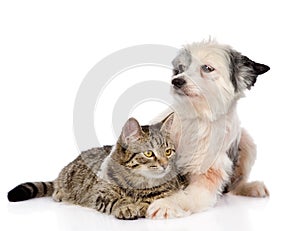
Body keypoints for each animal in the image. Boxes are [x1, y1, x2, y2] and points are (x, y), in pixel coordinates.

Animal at [7, 114, 188, 219]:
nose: (165, 165)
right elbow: (117, 199)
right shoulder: (100, 194)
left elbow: (153, 200)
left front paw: (141, 205)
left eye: (168, 152)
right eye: (149, 153)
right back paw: (60, 192)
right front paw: (127, 206)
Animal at [146, 39, 270, 218]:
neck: (197, 118)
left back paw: (252, 187)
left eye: (207, 68)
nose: (176, 81)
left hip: (247, 144)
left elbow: (186, 196)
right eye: (181, 68)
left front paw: (166, 204)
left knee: (235, 185)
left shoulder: (207, 175)